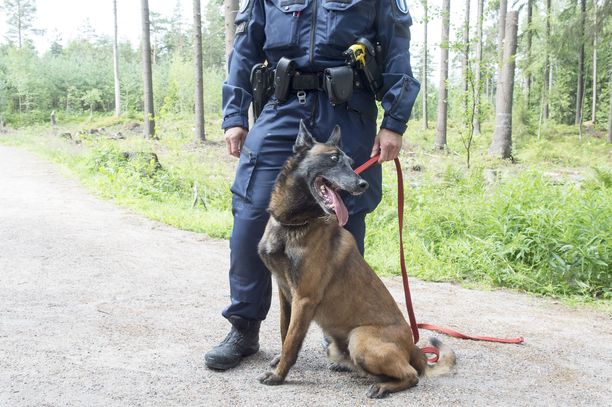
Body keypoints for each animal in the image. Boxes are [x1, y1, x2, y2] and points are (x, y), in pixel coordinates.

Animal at [256, 122, 452, 402]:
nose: (363, 184)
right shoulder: (285, 295)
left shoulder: (304, 299)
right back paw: (347, 366)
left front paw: (279, 375)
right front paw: (278, 361)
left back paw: (383, 386)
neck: (293, 224)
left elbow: (292, 342)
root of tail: (414, 348)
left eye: (350, 162)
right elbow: (285, 333)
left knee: (412, 375)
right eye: (333, 159)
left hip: (359, 338)